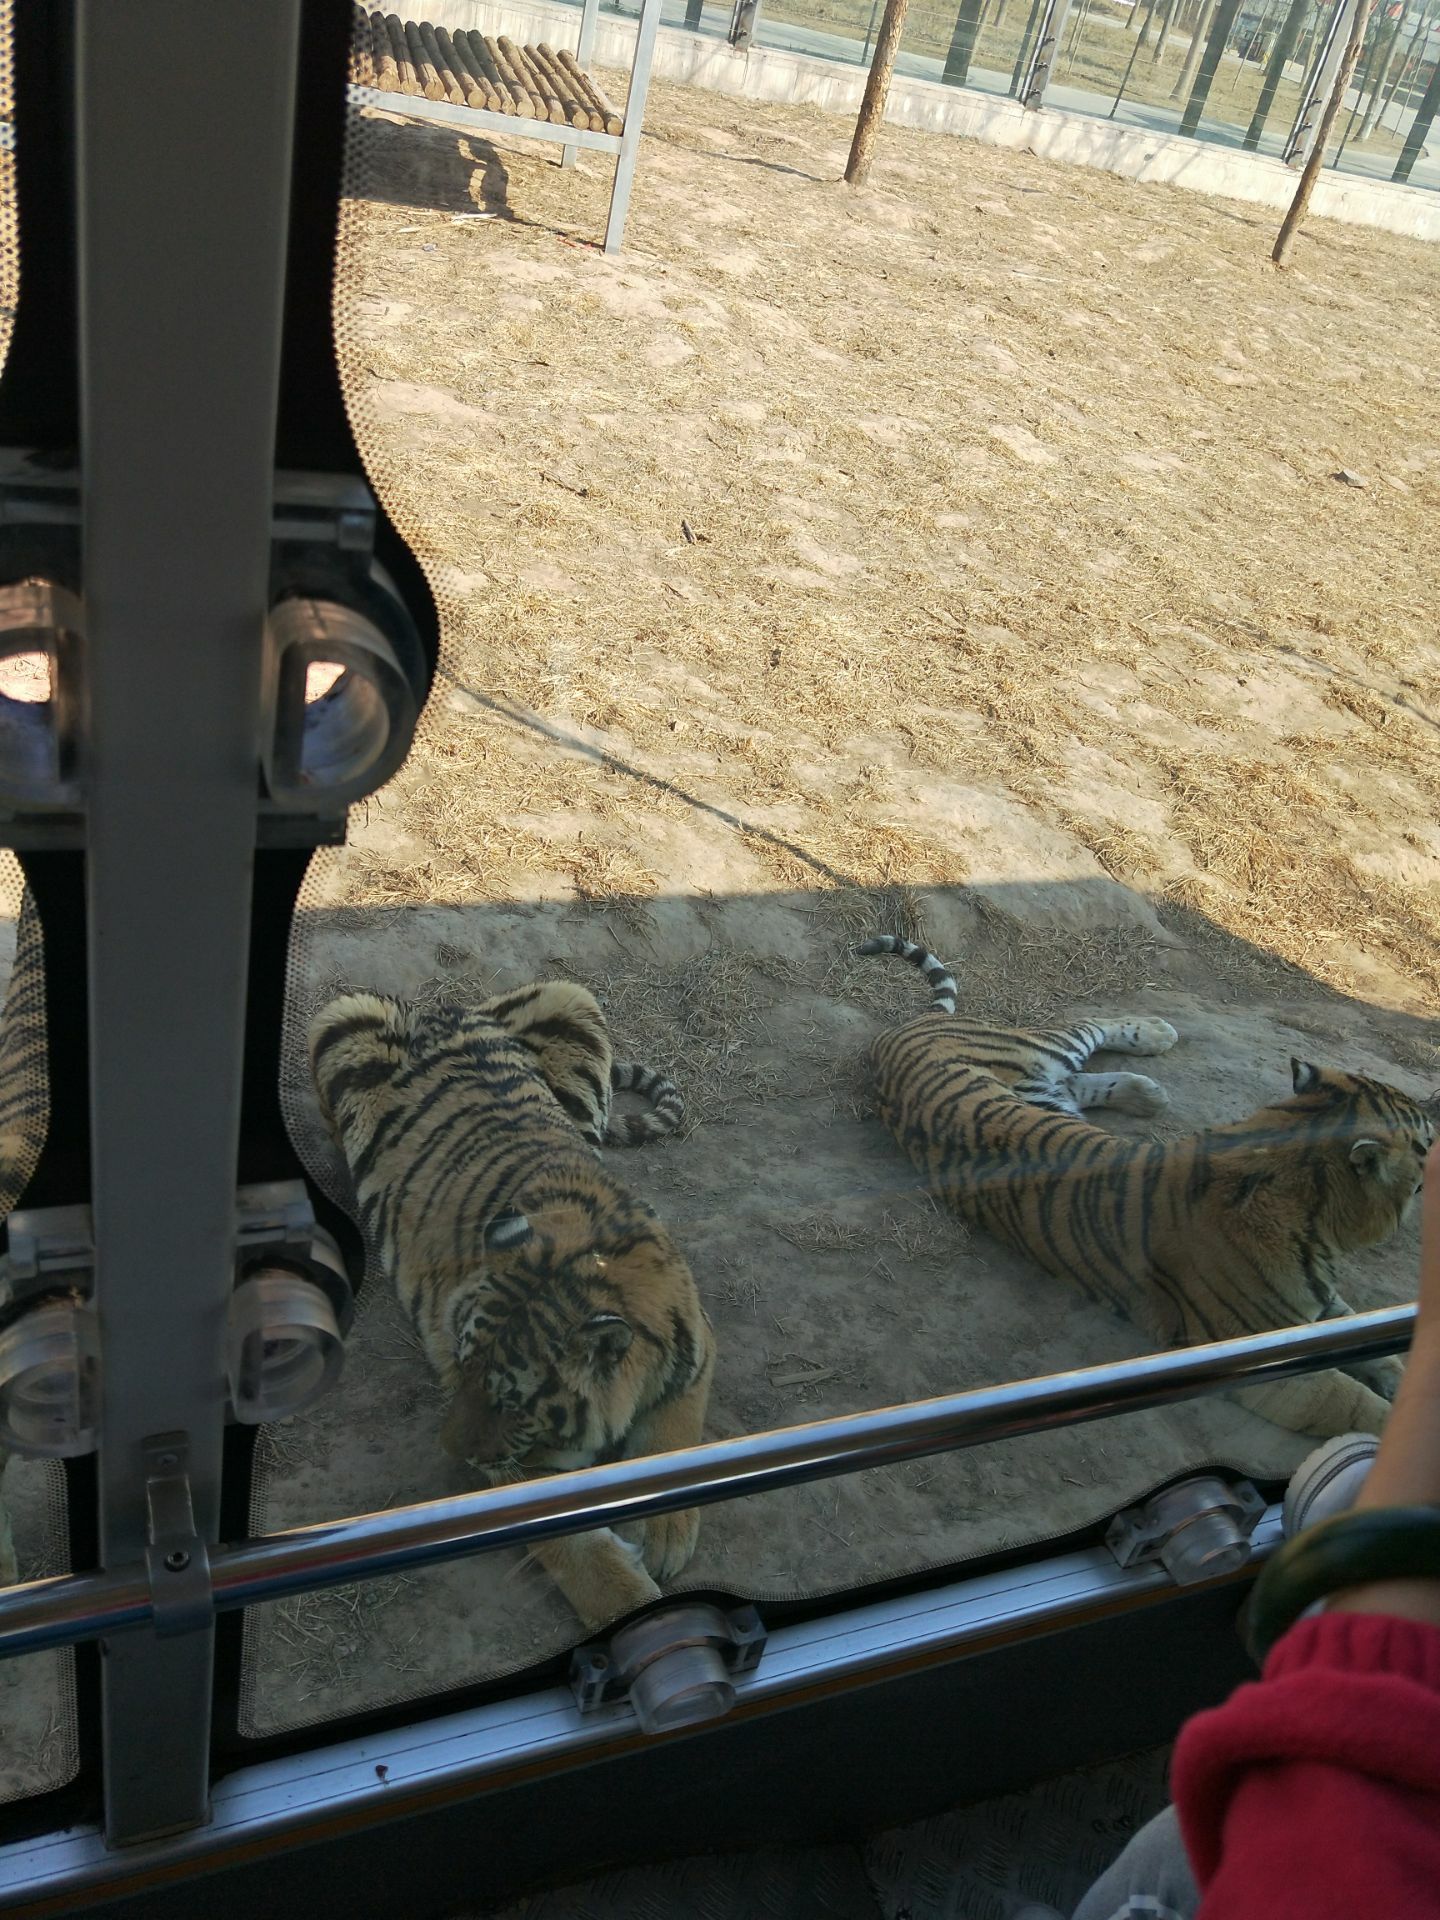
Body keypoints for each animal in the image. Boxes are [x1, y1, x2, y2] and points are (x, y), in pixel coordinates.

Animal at [308, 979, 713, 1629]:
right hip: (345, 1017)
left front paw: (665, 1533)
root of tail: (441, 1006)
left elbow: (674, 1431)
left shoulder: (694, 1340)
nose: (452, 1456)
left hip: (574, 1001)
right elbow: (581, 1554)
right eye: (460, 1368)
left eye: (510, 1401)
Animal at [859, 932, 1437, 1440]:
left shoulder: (1320, 1301)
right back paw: (1160, 1037)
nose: (1435, 1120)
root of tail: (904, 1030)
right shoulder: (1259, 1356)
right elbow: (1353, 1402)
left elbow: (1377, 1349)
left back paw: (1148, 1090)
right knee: (1088, 1022)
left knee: (1084, 1070)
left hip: (1047, 1081)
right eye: (1425, 1139)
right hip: (1041, 1047)